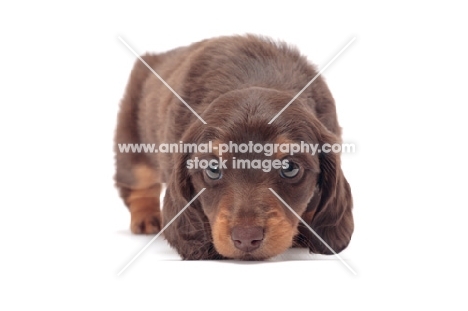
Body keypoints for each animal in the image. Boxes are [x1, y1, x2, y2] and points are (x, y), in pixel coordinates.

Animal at [115, 34, 352, 260]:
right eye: (212, 169)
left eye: (290, 168)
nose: (246, 238)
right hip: (131, 142)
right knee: (138, 182)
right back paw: (147, 217)